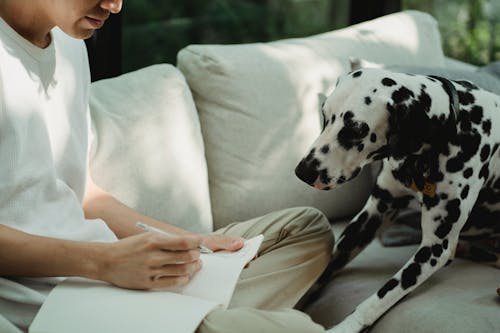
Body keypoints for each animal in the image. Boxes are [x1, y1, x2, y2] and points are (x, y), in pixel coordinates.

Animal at [294, 68, 498, 332]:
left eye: (356, 129)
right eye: (324, 115)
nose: (302, 172)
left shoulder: (435, 248)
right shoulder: (371, 216)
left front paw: (346, 326)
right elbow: (323, 270)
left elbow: (380, 297)